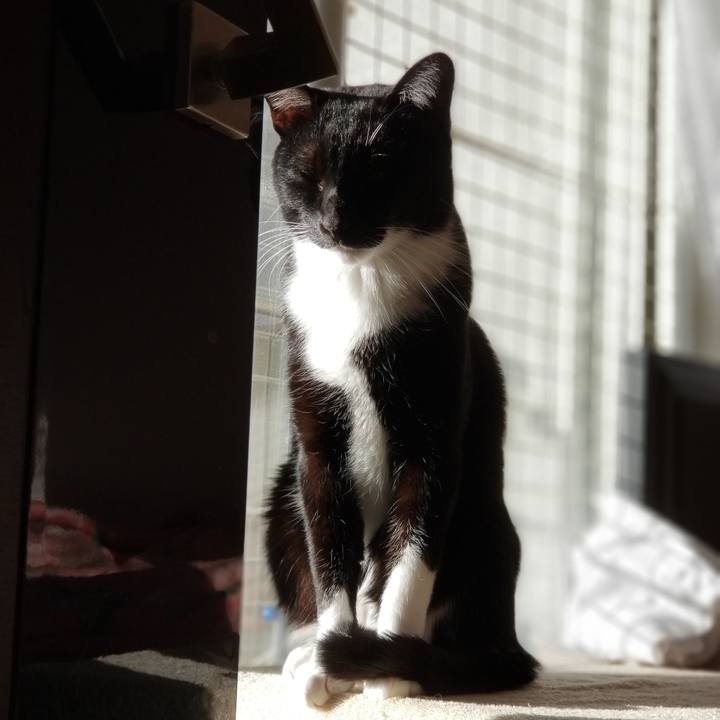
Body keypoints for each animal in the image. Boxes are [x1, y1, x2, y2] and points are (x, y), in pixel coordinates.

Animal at [263, 53, 538, 706]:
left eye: (381, 169)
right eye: (308, 174)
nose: (334, 220)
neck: (359, 288)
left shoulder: (435, 441)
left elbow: (410, 558)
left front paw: (389, 671)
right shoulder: (316, 448)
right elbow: (328, 553)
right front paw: (332, 660)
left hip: (485, 521)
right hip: (279, 503)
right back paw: (307, 658)